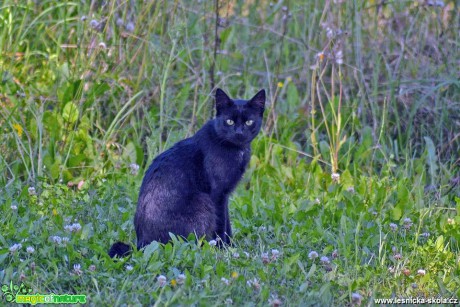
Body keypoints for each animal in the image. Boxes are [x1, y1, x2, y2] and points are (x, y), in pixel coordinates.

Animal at [108, 88, 266, 258]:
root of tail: (141, 245)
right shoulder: (218, 194)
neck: (237, 150)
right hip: (203, 203)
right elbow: (221, 225)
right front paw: (223, 250)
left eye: (249, 122)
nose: (239, 133)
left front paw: (232, 247)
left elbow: (227, 223)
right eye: (229, 121)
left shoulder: (225, 194)